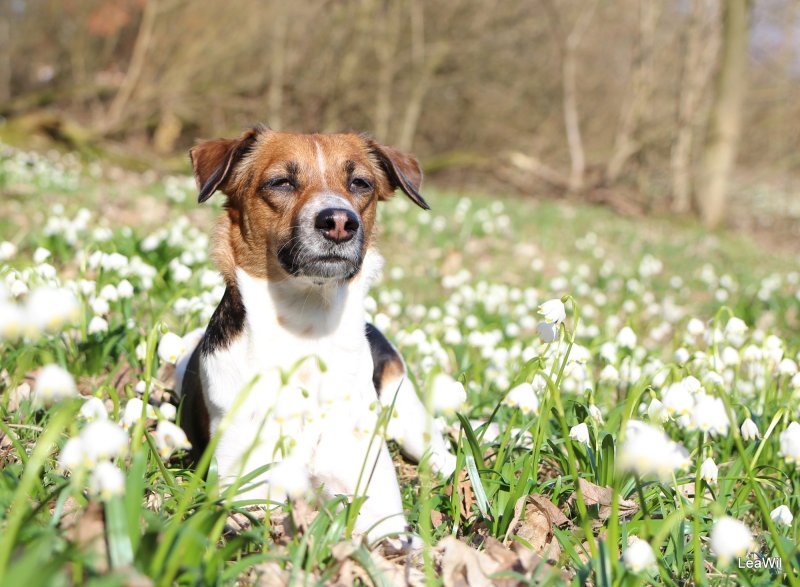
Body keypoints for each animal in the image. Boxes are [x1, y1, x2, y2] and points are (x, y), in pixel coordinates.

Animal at [176, 124, 460, 548]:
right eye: (280, 181)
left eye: (360, 183)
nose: (340, 221)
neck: (306, 327)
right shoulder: (246, 489)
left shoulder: (377, 504)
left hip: (408, 413)